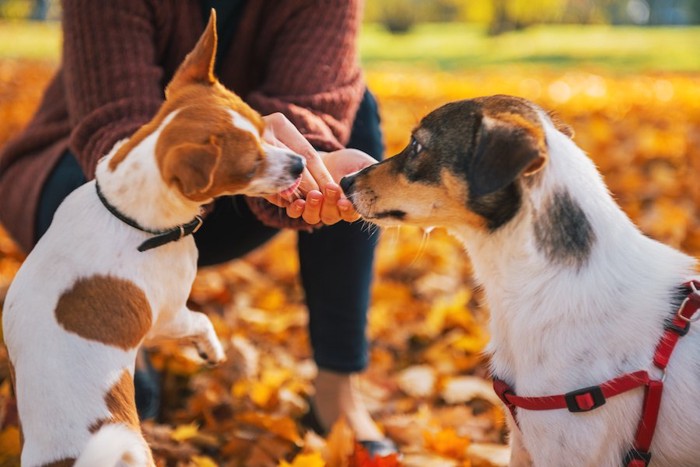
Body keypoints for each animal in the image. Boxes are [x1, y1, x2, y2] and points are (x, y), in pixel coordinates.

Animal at [3, 11, 304, 467]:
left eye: (262, 128)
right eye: (249, 166)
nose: (301, 163)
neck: (127, 216)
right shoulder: (167, 317)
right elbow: (202, 320)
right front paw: (211, 350)